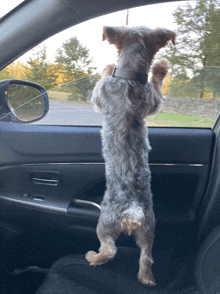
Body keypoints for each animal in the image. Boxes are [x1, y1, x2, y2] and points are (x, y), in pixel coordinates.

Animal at [85, 25, 176, 288]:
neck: (129, 75)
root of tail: (133, 211)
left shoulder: (100, 94)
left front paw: (108, 66)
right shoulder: (151, 99)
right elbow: (156, 91)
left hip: (105, 223)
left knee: (109, 250)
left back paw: (93, 257)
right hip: (149, 229)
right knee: (146, 257)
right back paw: (147, 279)